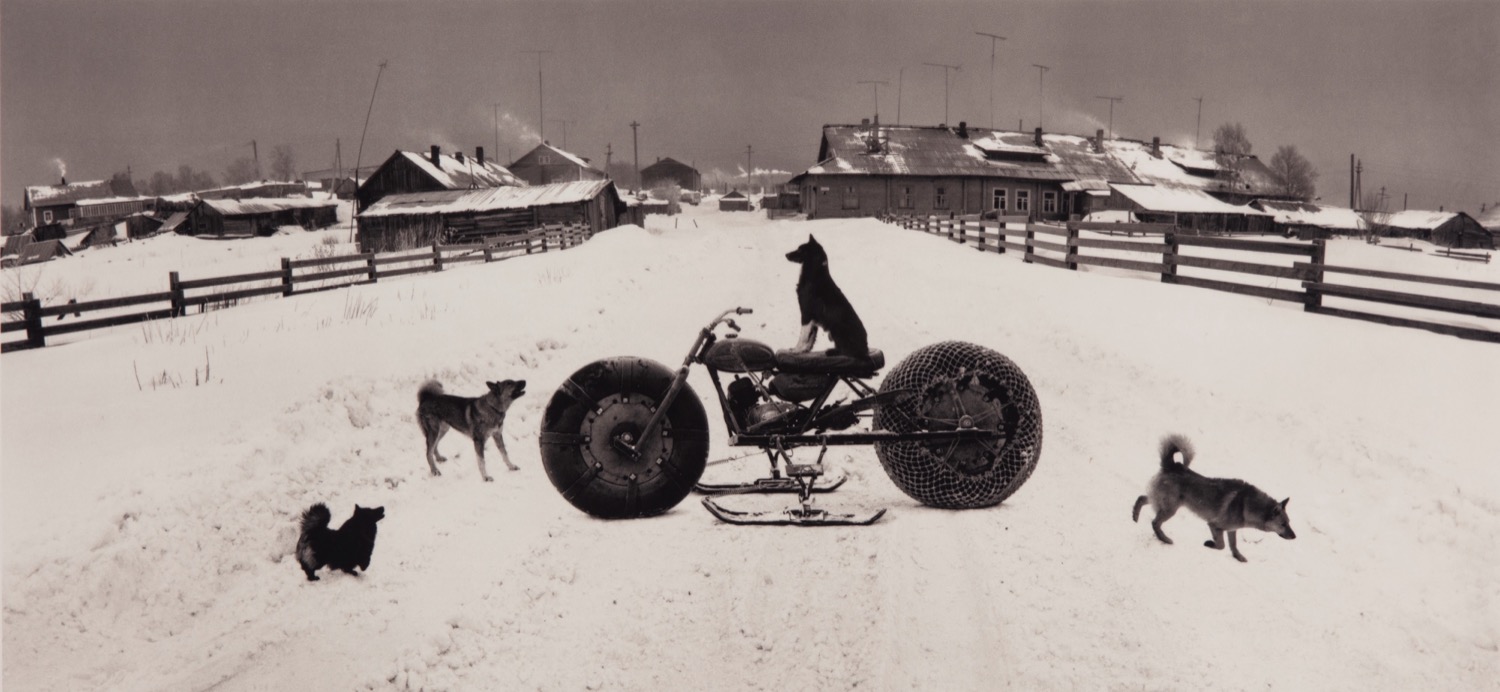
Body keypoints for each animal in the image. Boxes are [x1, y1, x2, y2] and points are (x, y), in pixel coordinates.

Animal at [1132, 434, 1295, 562]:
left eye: (1288, 522)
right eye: (1283, 524)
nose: (1295, 536)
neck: (1246, 505)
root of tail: (1173, 466)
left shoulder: (1231, 530)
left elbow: (1233, 546)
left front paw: (1238, 557)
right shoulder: (1214, 525)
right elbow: (1221, 546)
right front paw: (1209, 544)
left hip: (1162, 502)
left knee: (1141, 498)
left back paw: (1135, 516)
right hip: (1170, 508)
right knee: (1155, 523)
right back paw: (1164, 539)